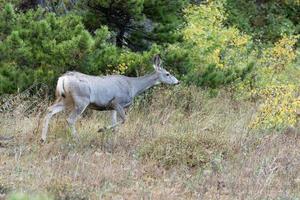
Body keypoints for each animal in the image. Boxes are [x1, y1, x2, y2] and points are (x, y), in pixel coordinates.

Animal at [41, 54, 179, 142]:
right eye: (168, 74)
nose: (178, 82)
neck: (133, 87)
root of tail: (63, 78)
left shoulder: (111, 107)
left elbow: (115, 125)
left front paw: (111, 139)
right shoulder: (117, 102)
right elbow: (124, 120)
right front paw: (101, 129)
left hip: (66, 99)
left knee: (50, 110)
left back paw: (43, 139)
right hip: (81, 100)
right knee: (70, 119)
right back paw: (77, 140)